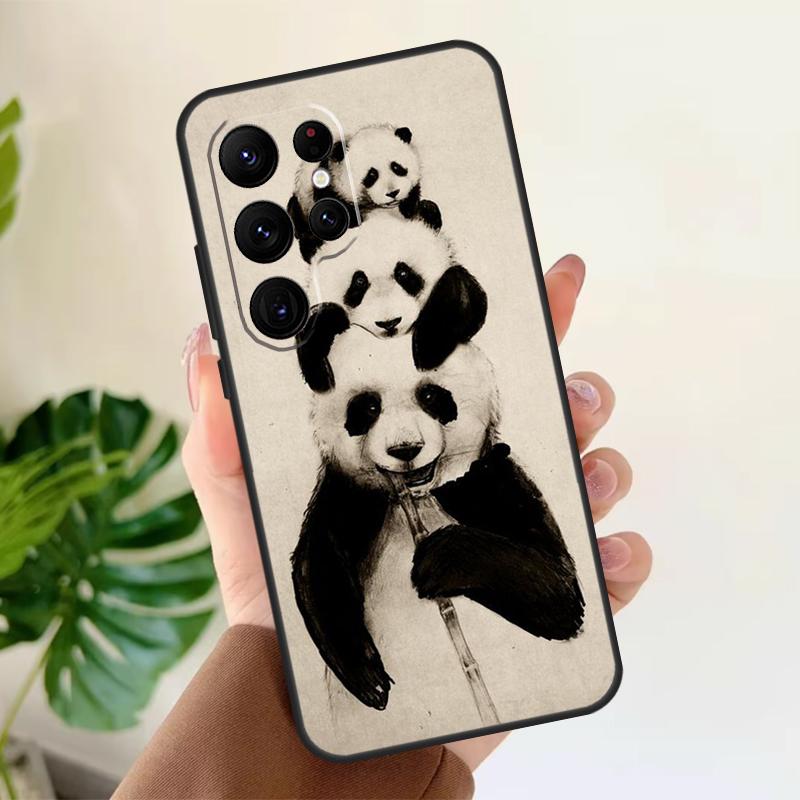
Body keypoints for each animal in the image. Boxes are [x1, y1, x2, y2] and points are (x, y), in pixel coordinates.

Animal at [291, 317, 585, 714]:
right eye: (367, 407)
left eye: (431, 396)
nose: (406, 449)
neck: (417, 497)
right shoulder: (351, 496)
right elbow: (319, 566)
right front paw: (369, 681)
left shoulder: (489, 484)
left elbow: (558, 593)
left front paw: (437, 562)